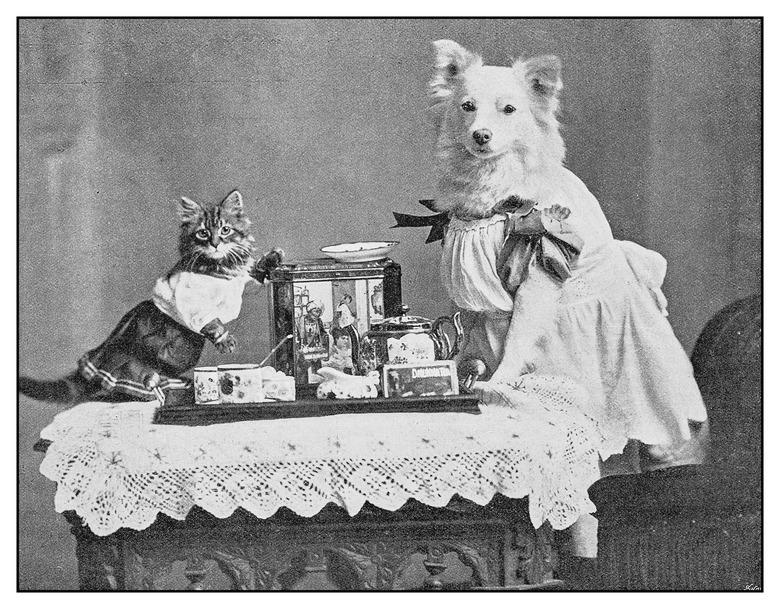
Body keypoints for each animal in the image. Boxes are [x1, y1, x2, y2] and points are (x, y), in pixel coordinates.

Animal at [18, 190, 284, 404]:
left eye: (225, 230)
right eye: (203, 233)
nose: (216, 244)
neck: (220, 266)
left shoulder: (241, 276)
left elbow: (254, 276)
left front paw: (272, 258)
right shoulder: (188, 297)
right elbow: (207, 319)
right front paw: (224, 339)